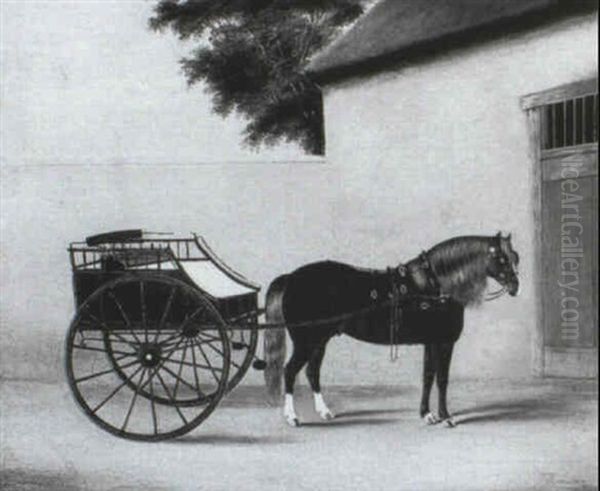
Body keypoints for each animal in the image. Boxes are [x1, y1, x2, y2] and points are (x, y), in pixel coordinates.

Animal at [262, 233, 520, 428]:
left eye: (515, 257)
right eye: (500, 258)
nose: (515, 287)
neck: (435, 285)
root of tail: (291, 277)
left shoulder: (431, 342)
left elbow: (428, 377)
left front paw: (427, 415)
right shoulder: (444, 342)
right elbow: (442, 379)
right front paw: (446, 417)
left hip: (320, 341)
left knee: (312, 372)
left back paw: (325, 412)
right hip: (306, 342)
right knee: (289, 372)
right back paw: (292, 417)